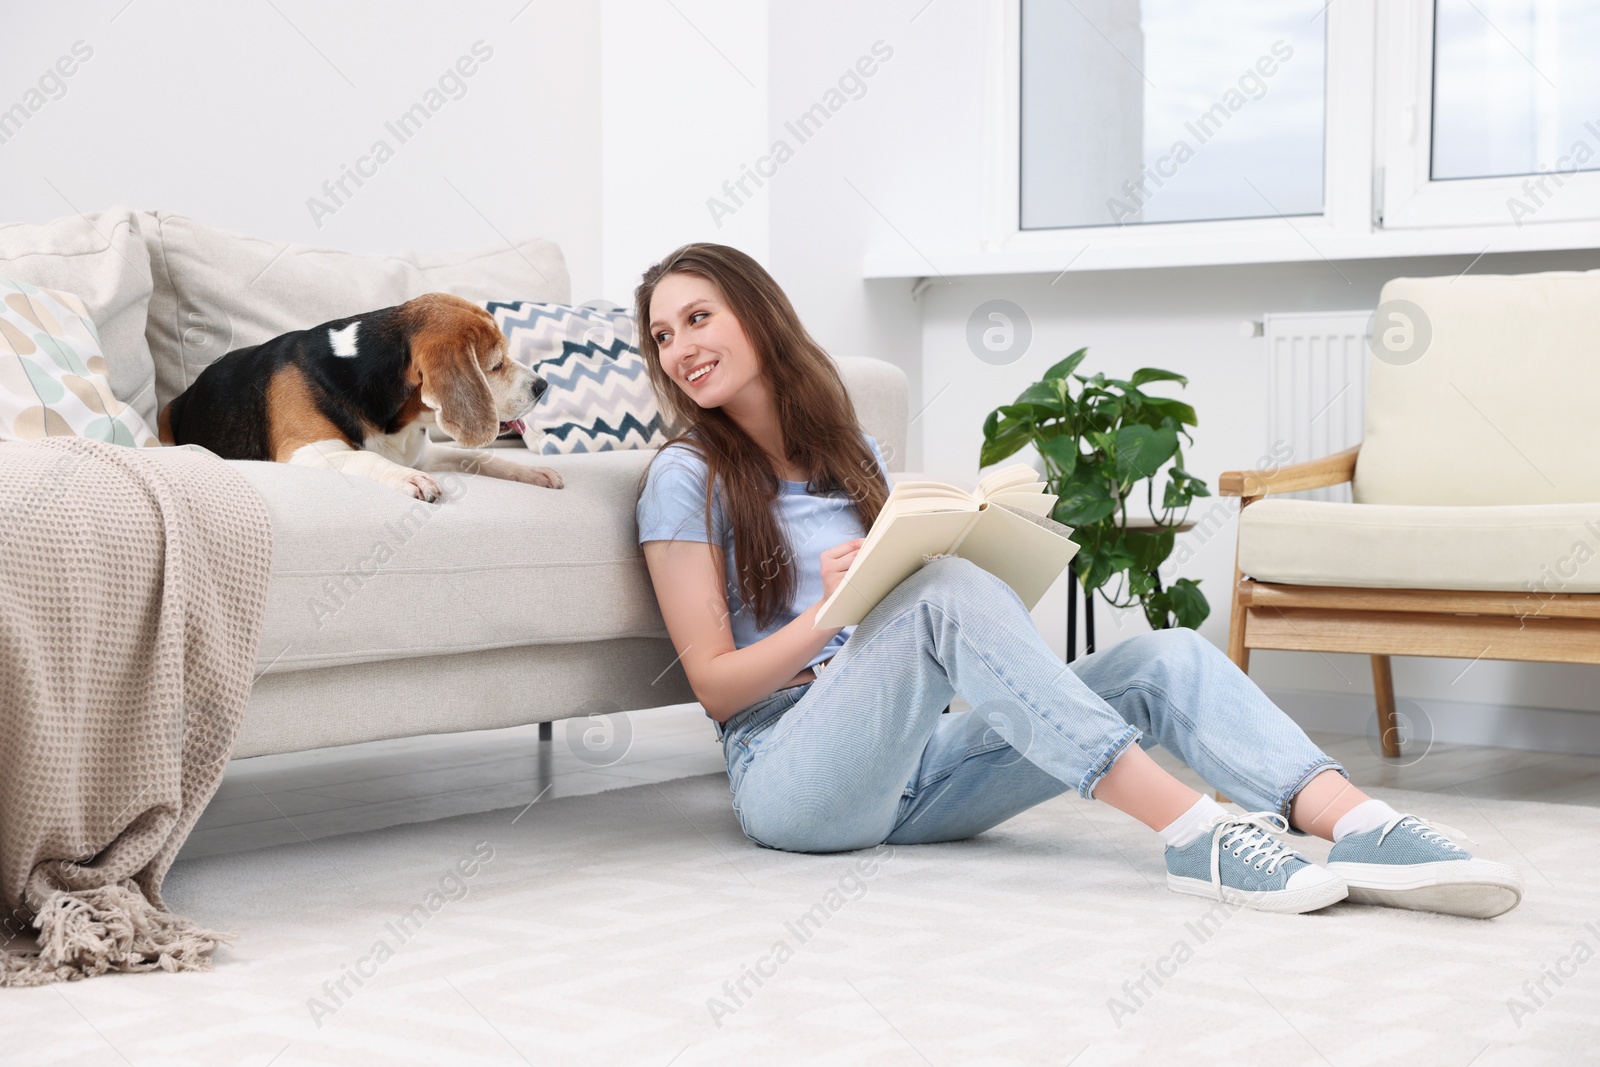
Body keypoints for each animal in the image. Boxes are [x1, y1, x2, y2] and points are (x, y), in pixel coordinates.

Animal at [157, 292, 563, 502]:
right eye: (494, 364)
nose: (542, 386)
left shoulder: (425, 453)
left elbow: (481, 457)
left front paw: (533, 470)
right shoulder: (309, 452)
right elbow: (367, 458)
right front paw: (411, 479)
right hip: (165, 417)